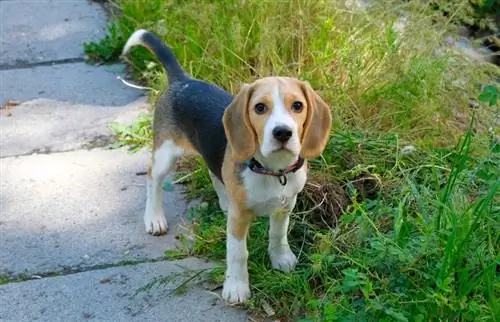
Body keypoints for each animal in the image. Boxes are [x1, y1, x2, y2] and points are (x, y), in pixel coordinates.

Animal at [122, 28, 332, 304]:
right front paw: (236, 287)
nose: (282, 133)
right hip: (166, 151)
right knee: (152, 178)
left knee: (213, 173)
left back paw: (223, 202)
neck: (272, 170)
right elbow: (238, 253)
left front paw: (281, 258)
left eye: (297, 105)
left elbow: (278, 234)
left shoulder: (285, 205)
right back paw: (154, 218)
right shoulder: (239, 218)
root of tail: (182, 80)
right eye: (260, 108)